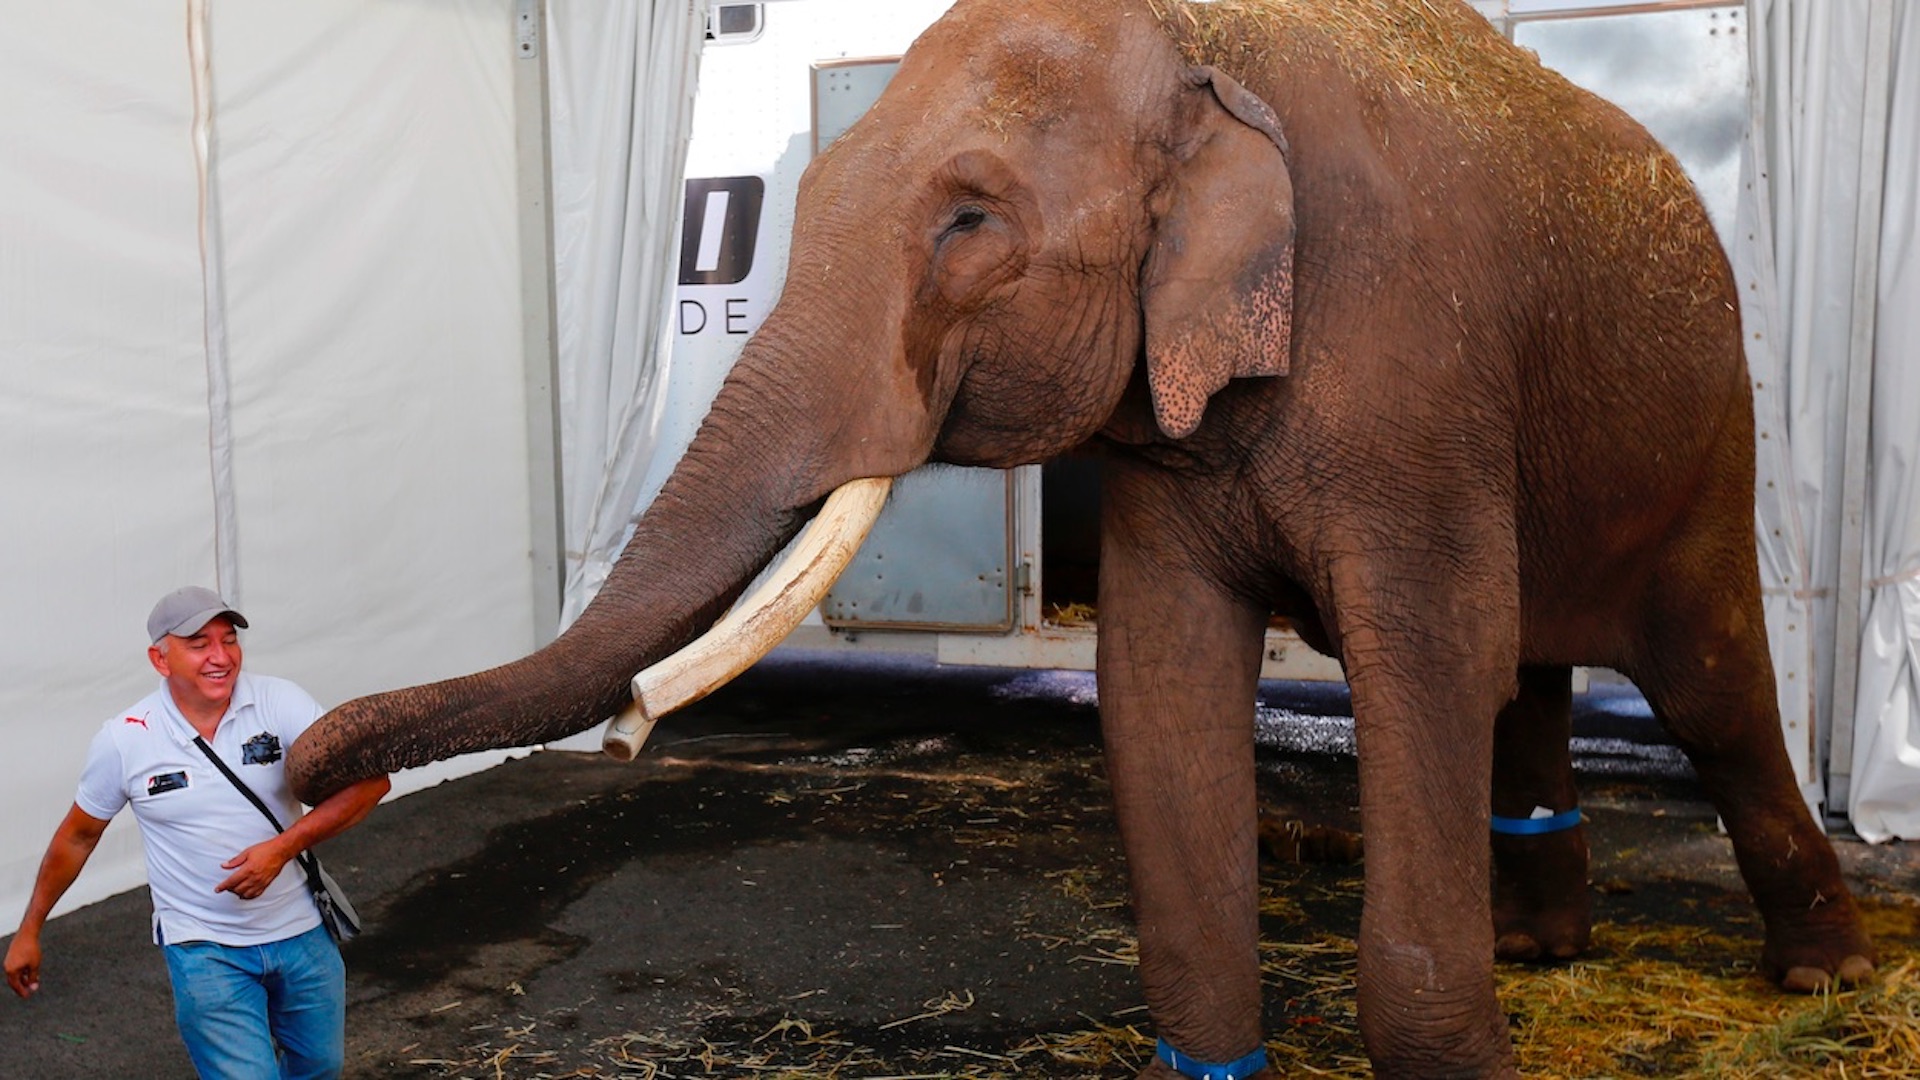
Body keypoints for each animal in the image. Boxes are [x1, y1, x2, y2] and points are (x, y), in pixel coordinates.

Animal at [288, 0, 1877, 1074]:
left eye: (969, 222)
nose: (297, 772)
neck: (1201, 39)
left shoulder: (1406, 366)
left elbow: (1425, 666)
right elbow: (1164, 684)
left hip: (1709, 446)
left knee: (1712, 692)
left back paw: (1824, 981)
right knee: (1533, 682)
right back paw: (1547, 949)